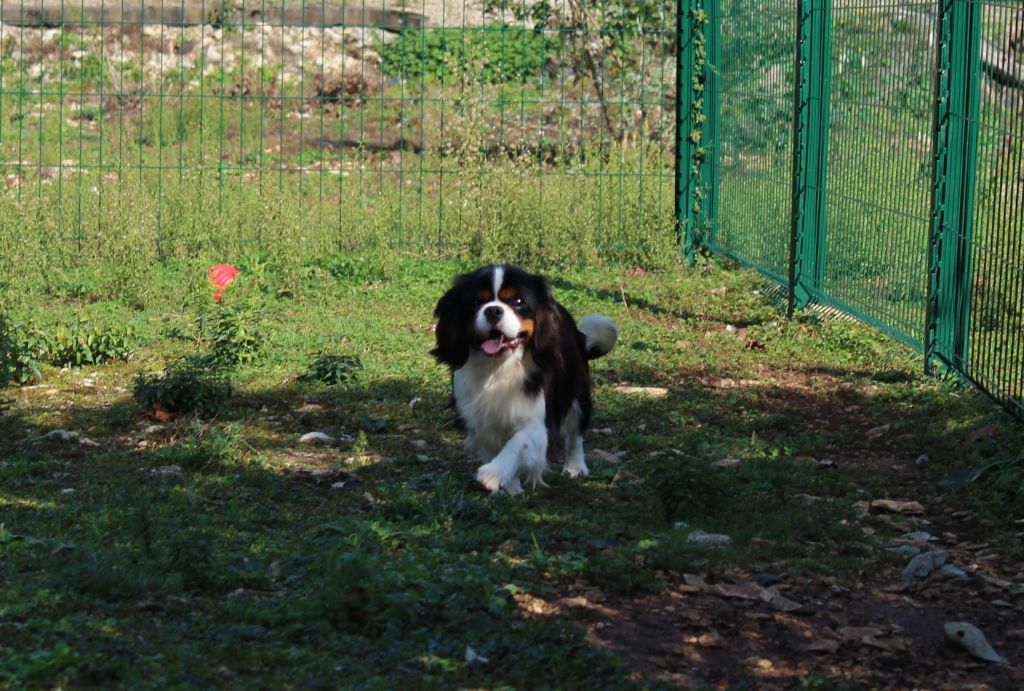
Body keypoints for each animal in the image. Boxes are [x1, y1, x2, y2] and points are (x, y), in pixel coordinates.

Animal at [430, 262, 614, 495]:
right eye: (476, 303)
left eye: (518, 302)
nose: (493, 309)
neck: (499, 366)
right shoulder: (480, 417)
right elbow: (497, 446)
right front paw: (510, 485)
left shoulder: (537, 422)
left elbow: (518, 443)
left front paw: (492, 474)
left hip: (577, 393)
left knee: (575, 432)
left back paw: (576, 466)